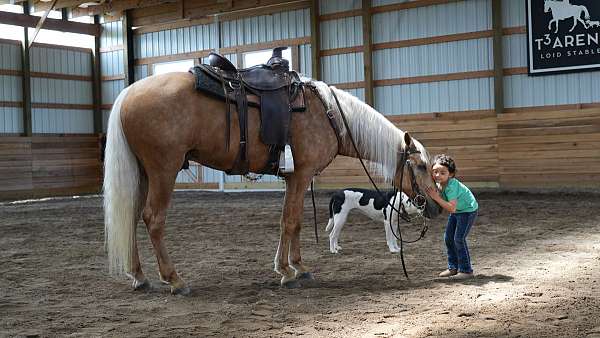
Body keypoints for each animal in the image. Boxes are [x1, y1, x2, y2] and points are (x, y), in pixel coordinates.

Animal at [102, 72, 440, 294]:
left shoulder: (294, 178)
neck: (329, 115)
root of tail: (128, 94)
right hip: (164, 169)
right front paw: (288, 271)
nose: (436, 208)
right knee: (153, 218)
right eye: (421, 166)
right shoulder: (301, 174)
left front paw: (296, 267)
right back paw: (174, 279)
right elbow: (290, 221)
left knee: (131, 217)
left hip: (143, 173)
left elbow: (293, 221)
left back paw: (139, 275)